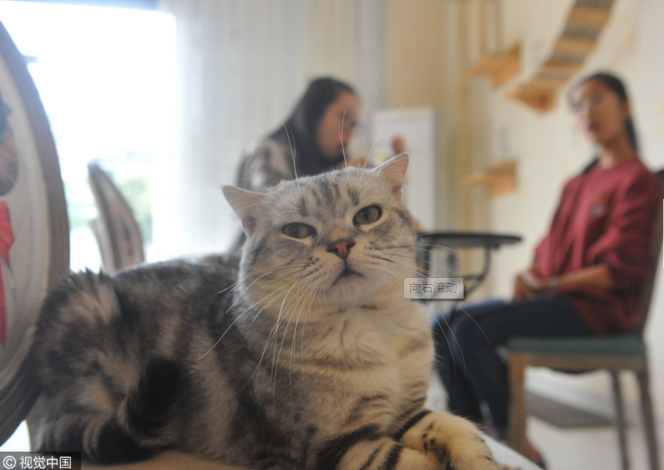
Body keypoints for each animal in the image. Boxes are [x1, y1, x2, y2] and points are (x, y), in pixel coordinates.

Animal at [33, 158, 516, 470]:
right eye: (298, 231)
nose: (341, 244)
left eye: (368, 215)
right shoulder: (338, 444)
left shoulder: (405, 412)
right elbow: (414, 462)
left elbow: (457, 428)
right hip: (84, 306)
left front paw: (481, 460)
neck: (375, 332)